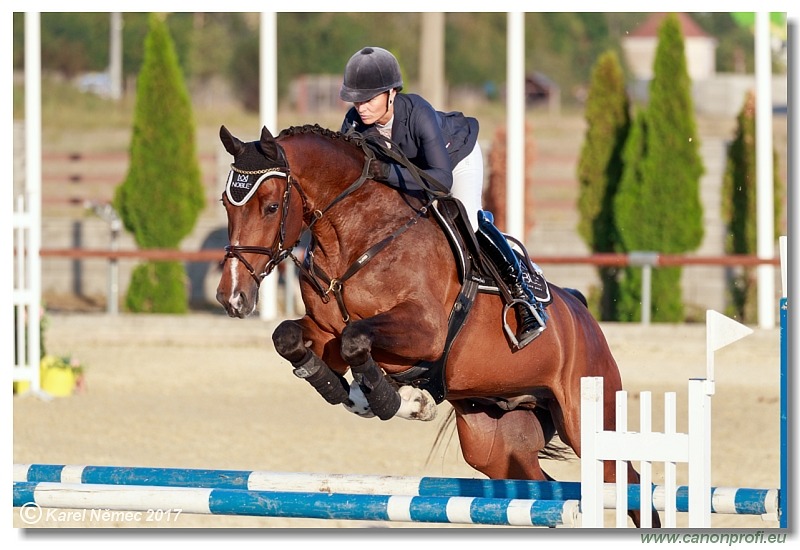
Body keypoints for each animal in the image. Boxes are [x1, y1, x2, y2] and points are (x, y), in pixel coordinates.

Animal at [216, 125, 660, 532]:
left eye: (270, 206)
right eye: (226, 203)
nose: (232, 297)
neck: (356, 237)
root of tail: (581, 311)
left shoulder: (424, 331)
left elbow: (356, 339)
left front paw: (395, 400)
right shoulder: (323, 332)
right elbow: (291, 338)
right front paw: (358, 392)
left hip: (587, 420)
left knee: (632, 483)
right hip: (495, 442)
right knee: (539, 487)